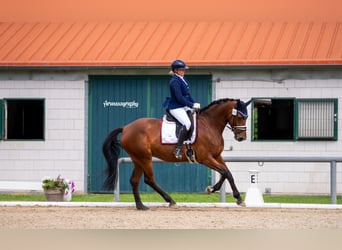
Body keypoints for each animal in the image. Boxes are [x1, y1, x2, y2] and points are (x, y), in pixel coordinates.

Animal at [102, 97, 251, 209]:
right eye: (239, 116)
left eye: (247, 117)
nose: (241, 137)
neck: (210, 124)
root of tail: (126, 128)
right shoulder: (205, 158)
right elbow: (225, 172)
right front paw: (236, 197)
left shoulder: (216, 156)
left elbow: (227, 173)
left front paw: (214, 189)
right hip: (144, 158)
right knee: (149, 179)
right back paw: (170, 201)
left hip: (137, 159)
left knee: (134, 180)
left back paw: (141, 206)